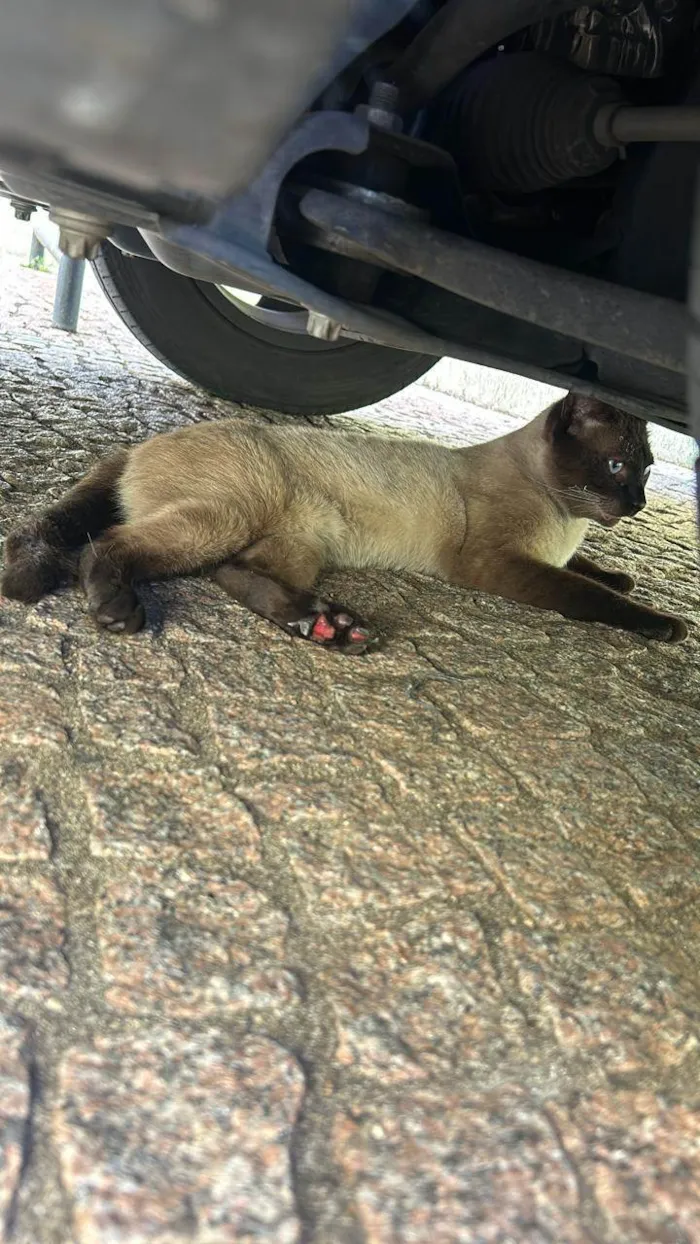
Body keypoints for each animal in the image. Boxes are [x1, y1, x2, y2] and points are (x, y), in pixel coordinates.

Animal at [1, 393, 691, 651]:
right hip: (228, 517)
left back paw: (325, 626)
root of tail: (141, 445)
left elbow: (595, 571)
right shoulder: (499, 564)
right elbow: (586, 593)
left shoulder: (555, 552)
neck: (564, 518)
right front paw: (666, 624)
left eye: (647, 470)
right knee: (110, 542)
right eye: (615, 465)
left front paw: (625, 576)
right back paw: (117, 609)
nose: (636, 504)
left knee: (232, 573)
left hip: (299, 544)